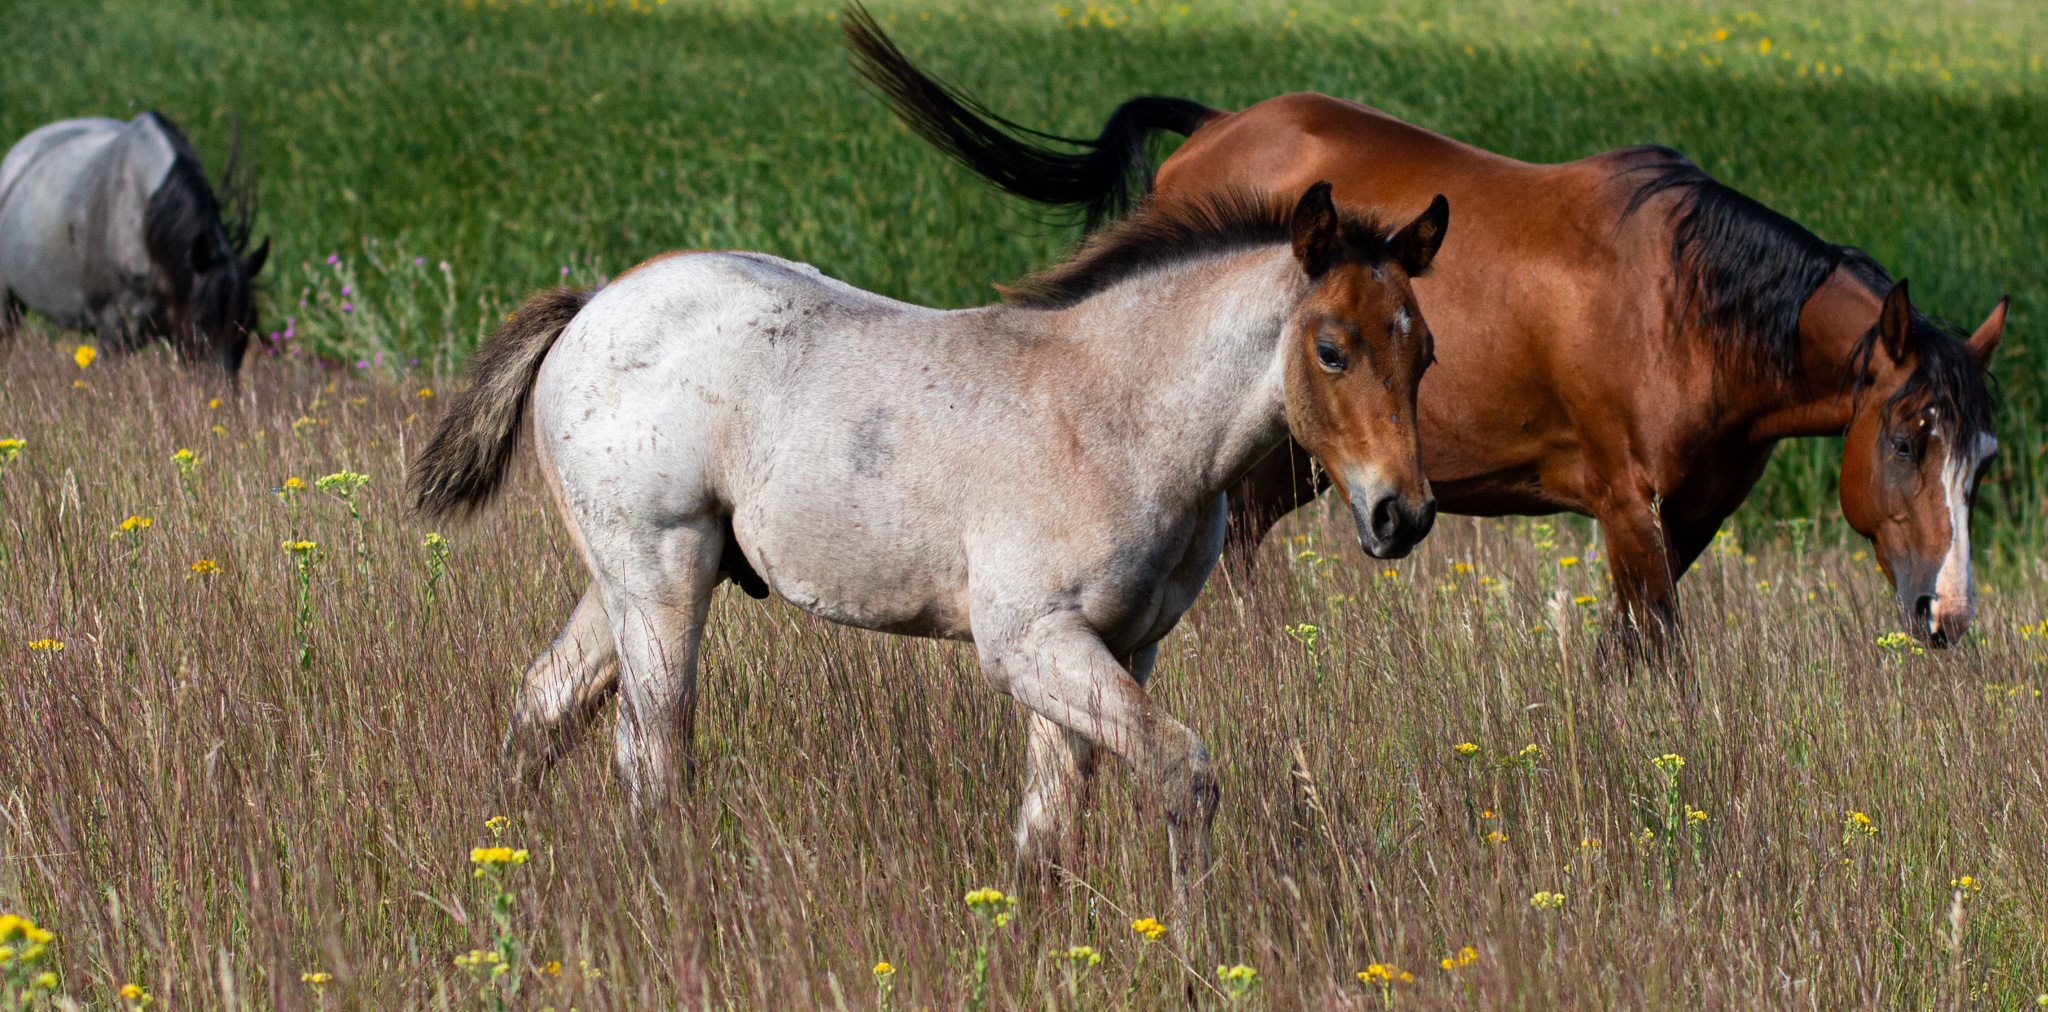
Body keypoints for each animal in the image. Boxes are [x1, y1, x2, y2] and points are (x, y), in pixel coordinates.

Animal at [410, 182, 1448, 906]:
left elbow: (1049, 826)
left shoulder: (1120, 648)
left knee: (547, 704)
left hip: (625, 579)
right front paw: (1195, 946)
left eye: (1424, 352)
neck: (1118, 414)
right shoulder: (1028, 643)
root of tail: (592, 304)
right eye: (1331, 350)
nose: (1402, 515)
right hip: (662, 574)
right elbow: (1182, 774)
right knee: (655, 751)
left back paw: (501, 862)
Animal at [844, 13, 2008, 650]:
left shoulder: (1687, 521)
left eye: (1984, 460)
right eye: (1908, 435)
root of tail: (1211, 131)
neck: (1686, 306)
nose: (1945, 613)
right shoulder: (1627, 512)